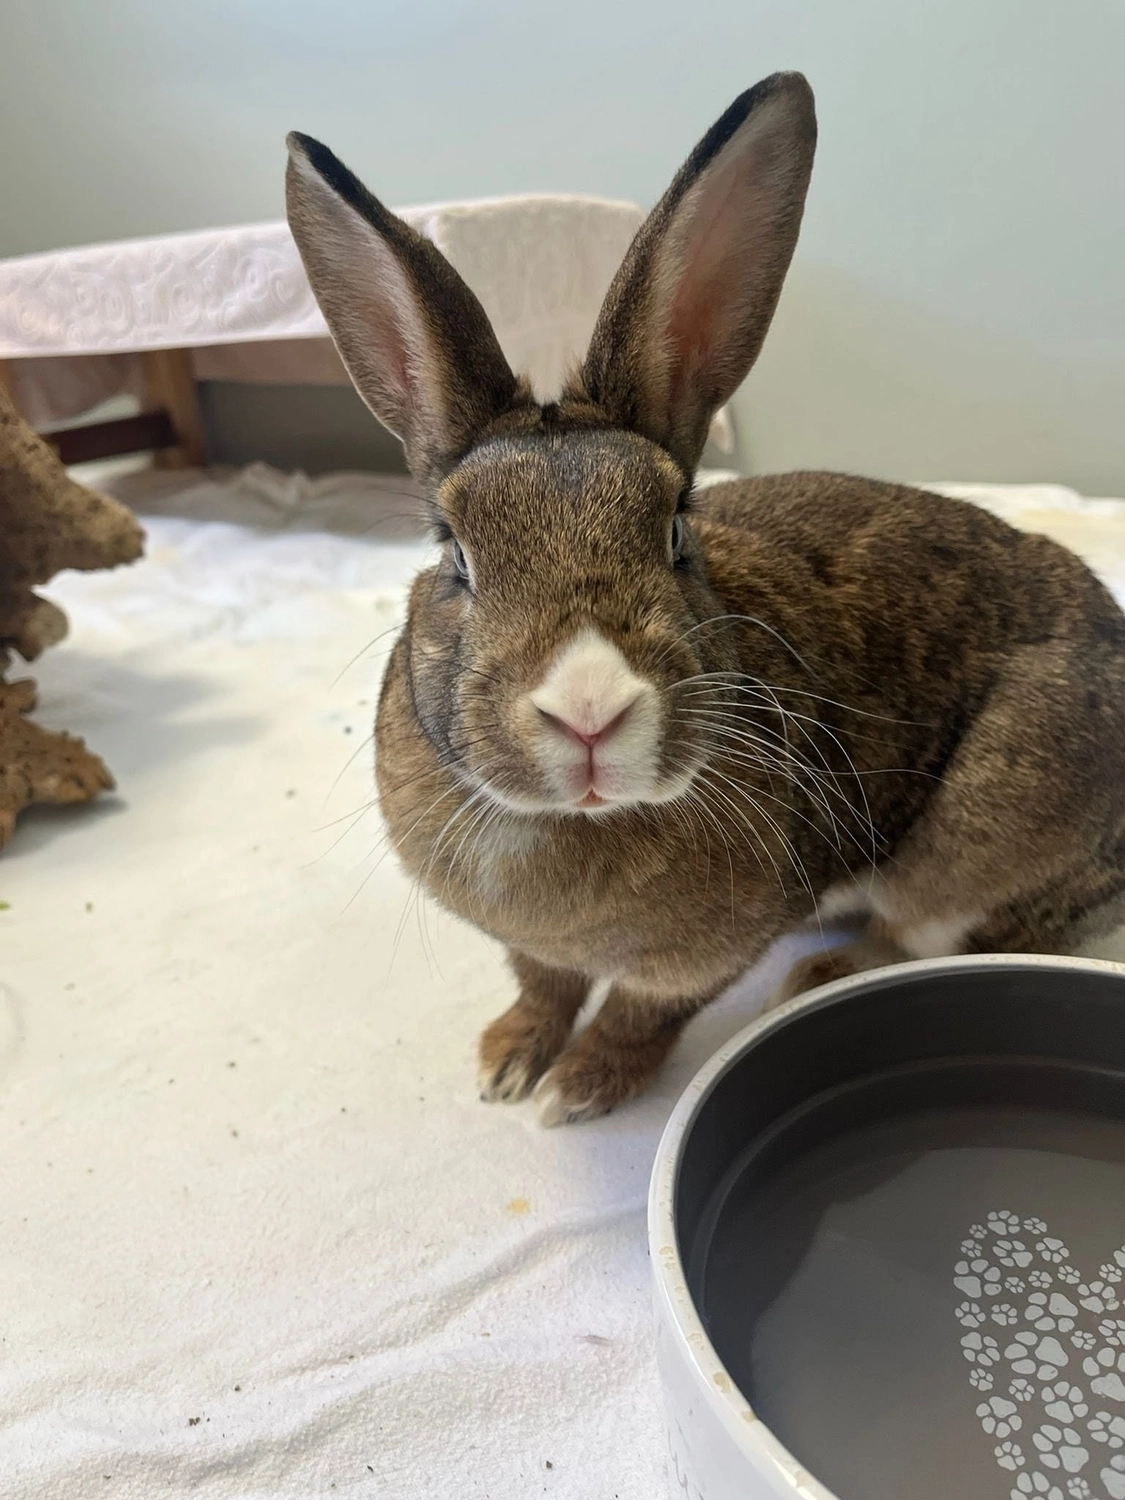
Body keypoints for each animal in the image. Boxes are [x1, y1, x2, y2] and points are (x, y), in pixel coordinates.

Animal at [285, 72, 1125, 1125]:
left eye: (675, 533)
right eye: (455, 554)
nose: (589, 709)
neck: (578, 823)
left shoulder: (697, 961)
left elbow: (639, 1013)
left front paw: (578, 1091)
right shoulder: (532, 949)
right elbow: (542, 983)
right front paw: (507, 1063)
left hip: (987, 831)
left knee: (936, 930)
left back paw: (819, 974)